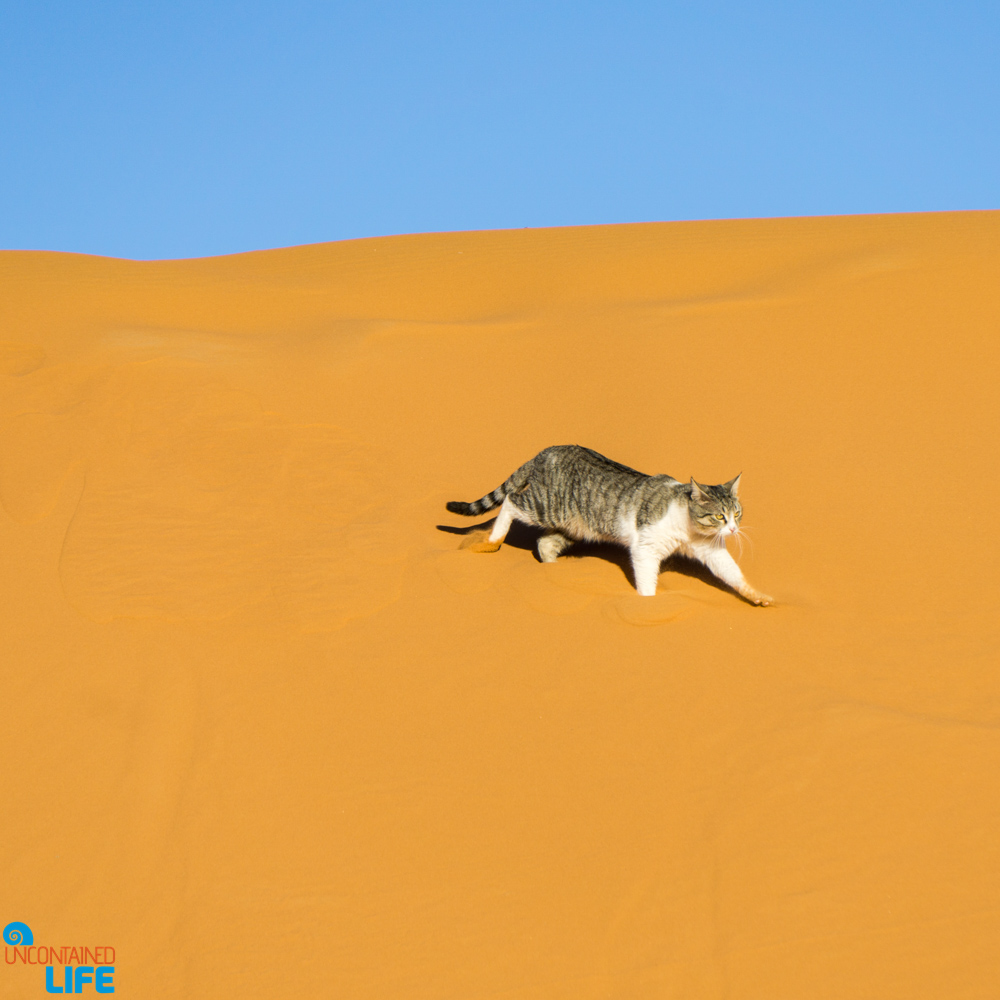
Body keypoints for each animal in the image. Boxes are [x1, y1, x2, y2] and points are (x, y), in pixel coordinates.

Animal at [446, 444, 772, 600]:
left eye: (737, 513)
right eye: (719, 516)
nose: (734, 529)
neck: (689, 527)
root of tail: (545, 452)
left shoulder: (709, 549)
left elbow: (731, 572)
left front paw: (757, 596)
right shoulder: (645, 547)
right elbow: (647, 581)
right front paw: (647, 605)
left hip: (574, 525)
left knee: (545, 542)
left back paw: (554, 574)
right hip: (546, 506)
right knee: (512, 501)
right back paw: (492, 541)